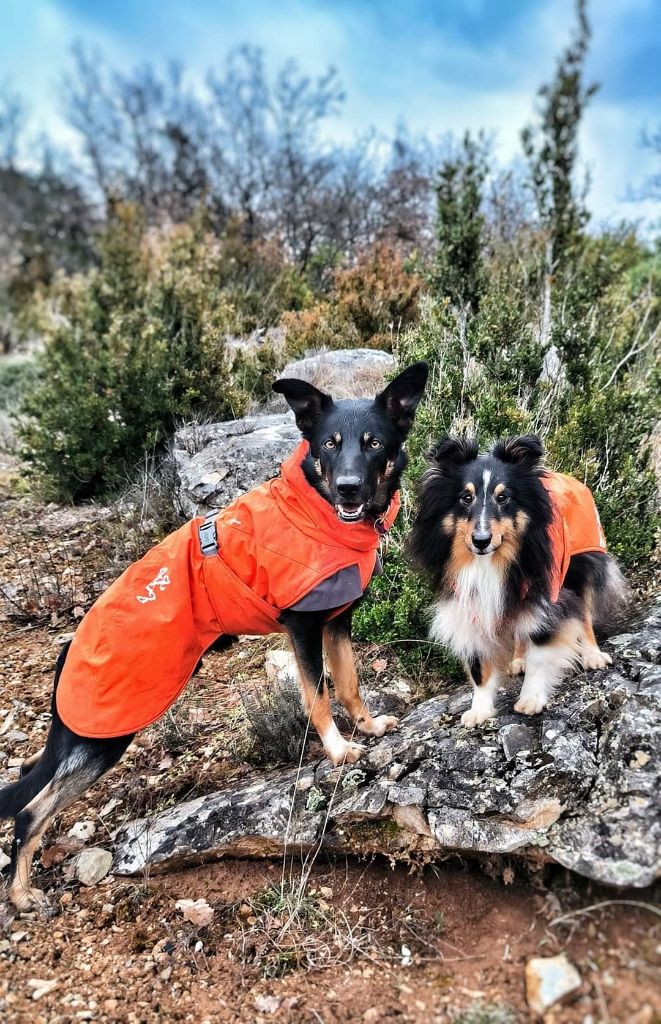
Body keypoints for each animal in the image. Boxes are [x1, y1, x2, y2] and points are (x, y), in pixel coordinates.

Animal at [0, 364, 429, 909]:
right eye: (330, 444)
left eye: (373, 444)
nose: (350, 489)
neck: (314, 512)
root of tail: (68, 647)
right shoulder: (303, 626)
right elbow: (318, 696)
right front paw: (337, 751)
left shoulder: (336, 622)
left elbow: (350, 685)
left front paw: (369, 727)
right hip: (103, 738)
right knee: (29, 810)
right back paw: (20, 895)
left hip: (86, 738)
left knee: (26, 777)